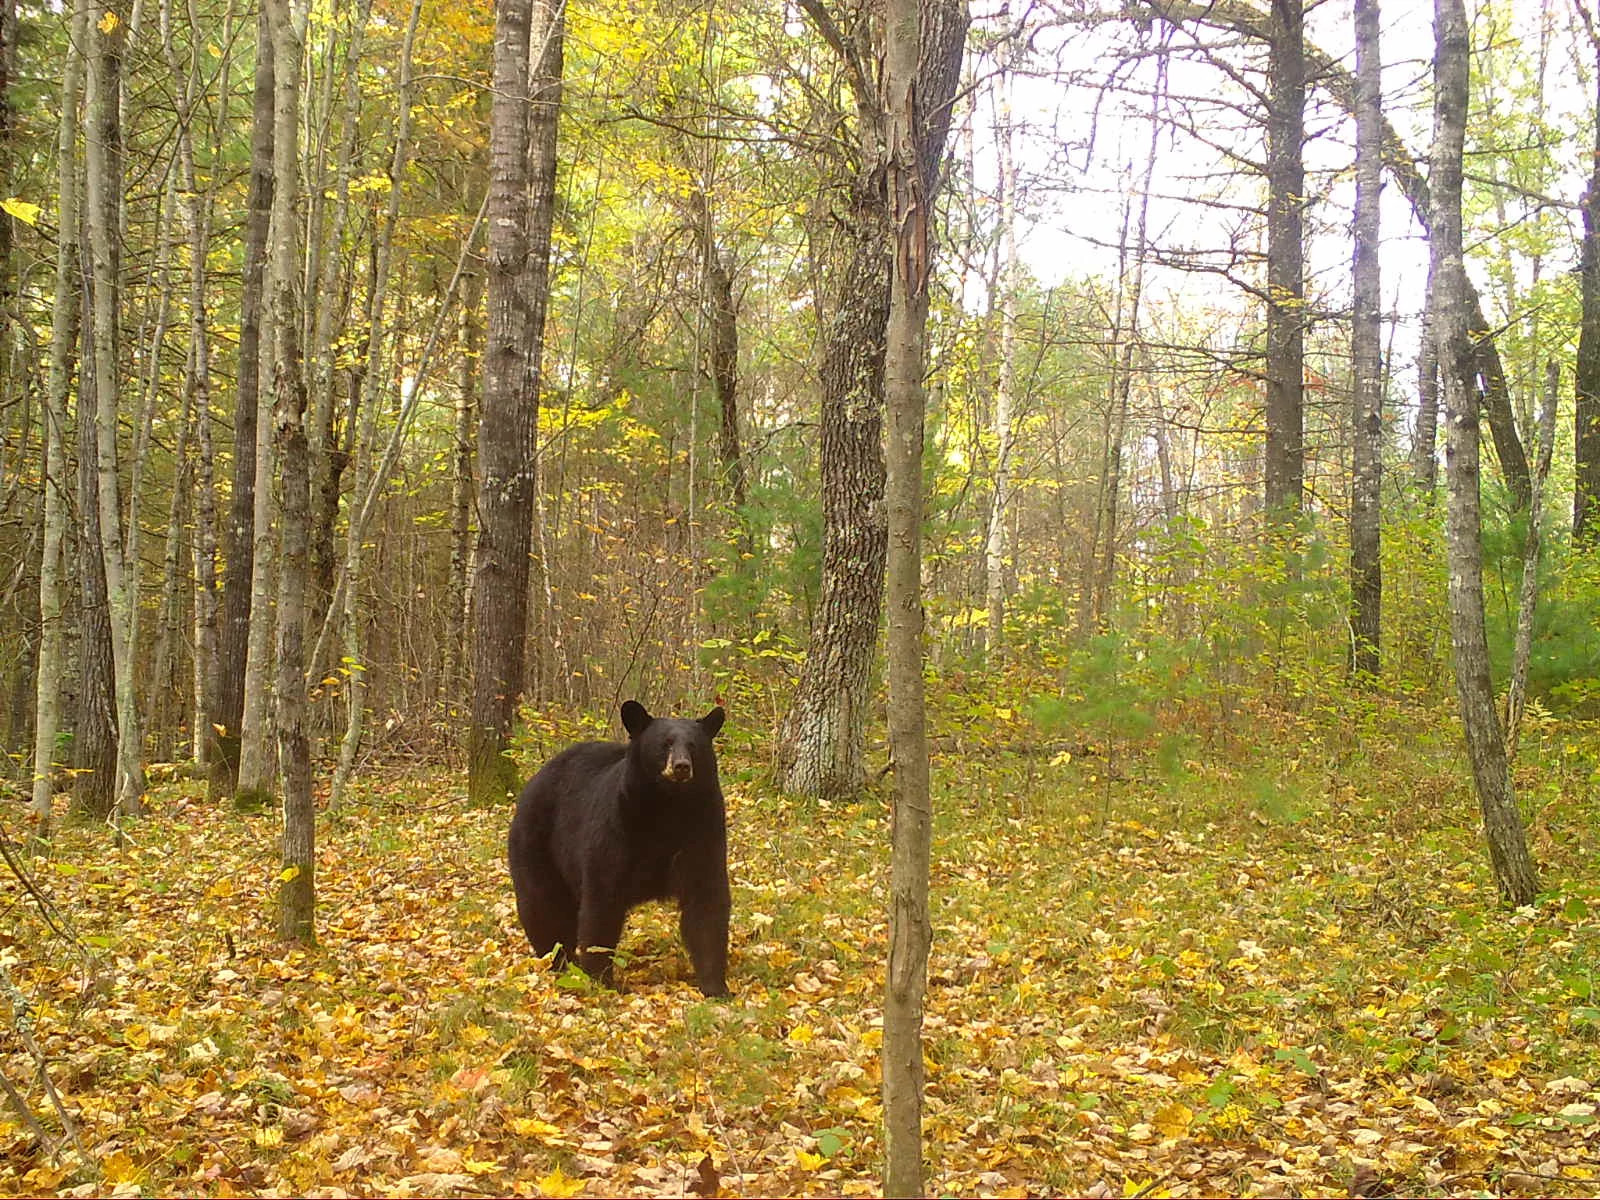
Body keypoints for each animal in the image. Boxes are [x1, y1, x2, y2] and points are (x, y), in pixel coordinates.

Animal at [507, 700, 731, 997]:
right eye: (665, 744)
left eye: (693, 745)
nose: (682, 766)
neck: (669, 807)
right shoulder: (618, 830)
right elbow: (602, 903)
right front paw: (602, 980)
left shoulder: (703, 830)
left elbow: (706, 900)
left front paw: (716, 987)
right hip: (536, 842)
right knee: (542, 905)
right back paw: (560, 962)